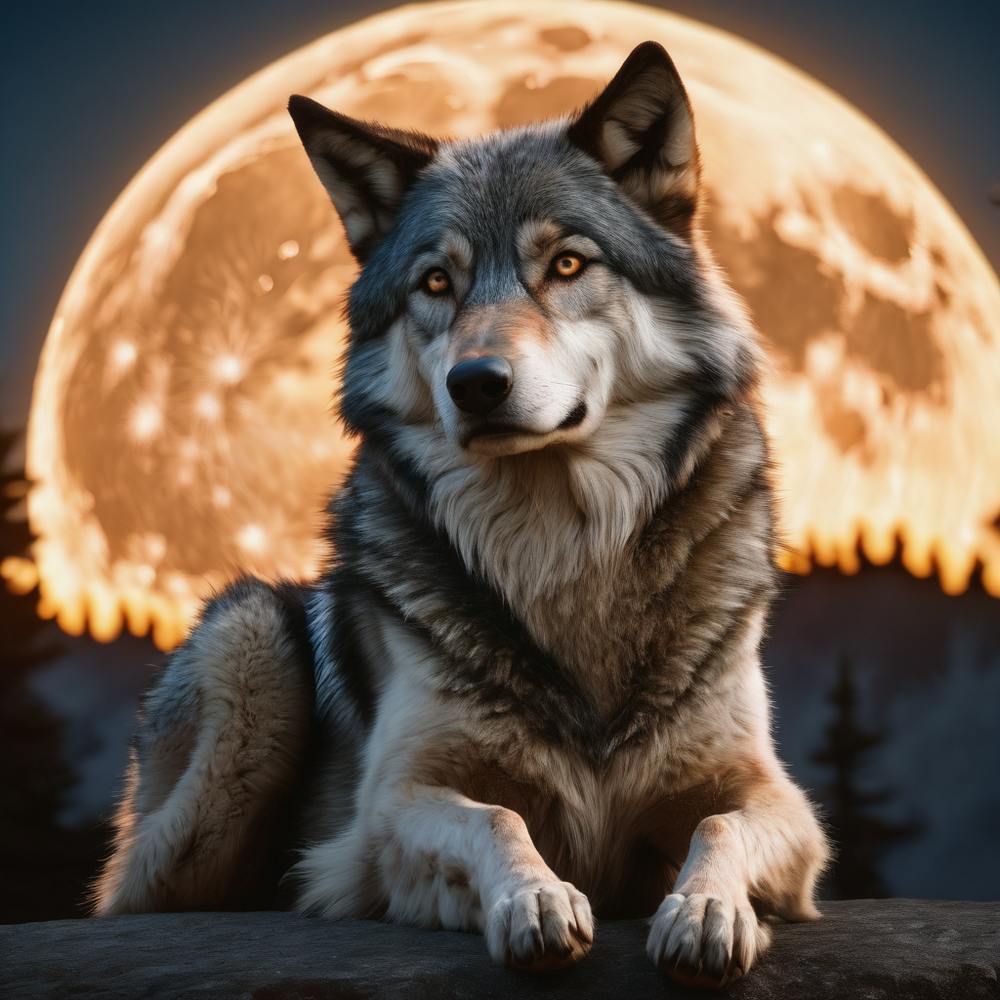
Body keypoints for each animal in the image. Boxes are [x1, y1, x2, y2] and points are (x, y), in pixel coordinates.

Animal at [94, 42, 828, 987]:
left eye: (566, 265)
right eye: (436, 282)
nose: (475, 383)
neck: (558, 550)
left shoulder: (777, 800)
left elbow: (718, 824)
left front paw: (704, 911)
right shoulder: (393, 807)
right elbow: (496, 820)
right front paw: (536, 901)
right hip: (247, 645)